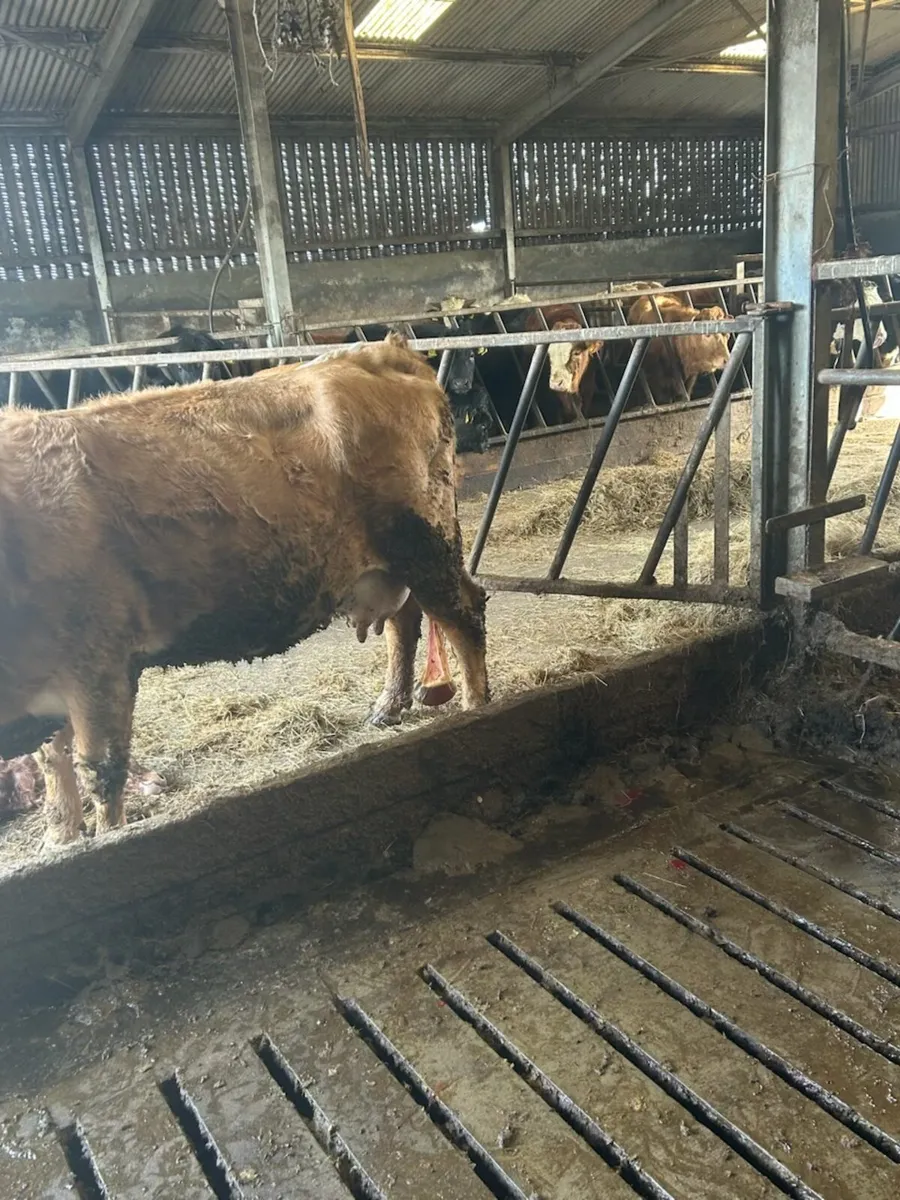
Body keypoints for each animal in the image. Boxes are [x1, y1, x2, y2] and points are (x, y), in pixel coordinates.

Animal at [0, 334, 488, 845]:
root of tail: (383, 351)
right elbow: (53, 766)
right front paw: (60, 840)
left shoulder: (100, 669)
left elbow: (100, 772)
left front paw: (110, 838)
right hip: (391, 565)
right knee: (404, 622)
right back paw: (388, 706)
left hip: (427, 547)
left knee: (464, 615)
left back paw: (475, 708)